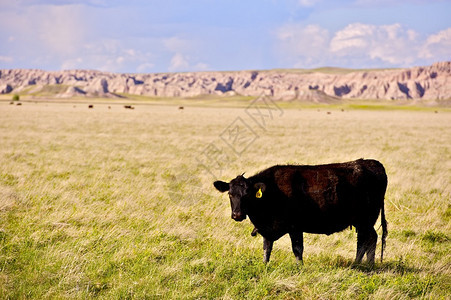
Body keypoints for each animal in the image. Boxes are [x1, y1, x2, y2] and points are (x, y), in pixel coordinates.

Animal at [215, 159, 388, 264]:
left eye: (247, 194)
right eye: (230, 194)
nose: (237, 215)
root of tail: (371, 163)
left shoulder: (295, 227)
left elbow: (297, 249)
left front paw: (300, 267)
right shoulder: (267, 228)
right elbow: (267, 247)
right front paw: (264, 265)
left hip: (367, 219)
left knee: (370, 238)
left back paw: (368, 265)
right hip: (360, 221)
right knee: (363, 240)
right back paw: (359, 263)